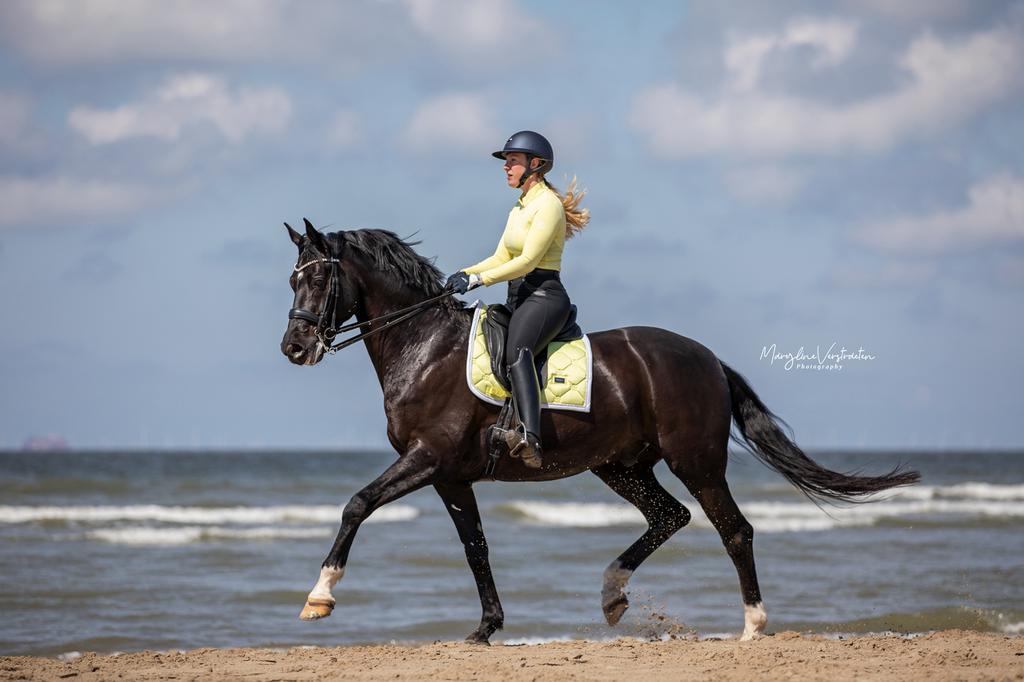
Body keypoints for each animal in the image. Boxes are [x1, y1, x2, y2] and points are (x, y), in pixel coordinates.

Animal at [279, 219, 919, 644]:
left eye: (320, 281)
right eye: (292, 280)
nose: (294, 347)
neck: (425, 347)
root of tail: (708, 358)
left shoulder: (427, 458)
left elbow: (357, 504)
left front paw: (319, 597)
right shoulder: (451, 477)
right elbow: (475, 548)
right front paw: (486, 628)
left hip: (695, 461)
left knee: (733, 529)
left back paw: (752, 625)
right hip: (620, 464)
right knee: (670, 516)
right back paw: (613, 594)